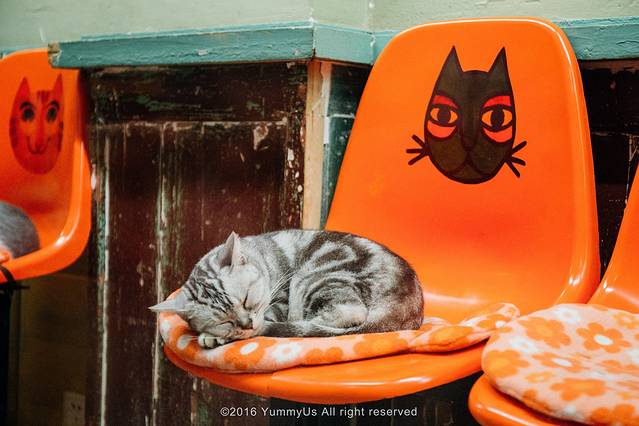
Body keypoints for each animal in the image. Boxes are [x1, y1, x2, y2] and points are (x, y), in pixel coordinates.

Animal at [150, 230, 424, 348]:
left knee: (344, 316)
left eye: (247, 300)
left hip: (312, 278)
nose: (247, 325)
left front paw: (214, 337)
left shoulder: (280, 298)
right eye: (224, 320)